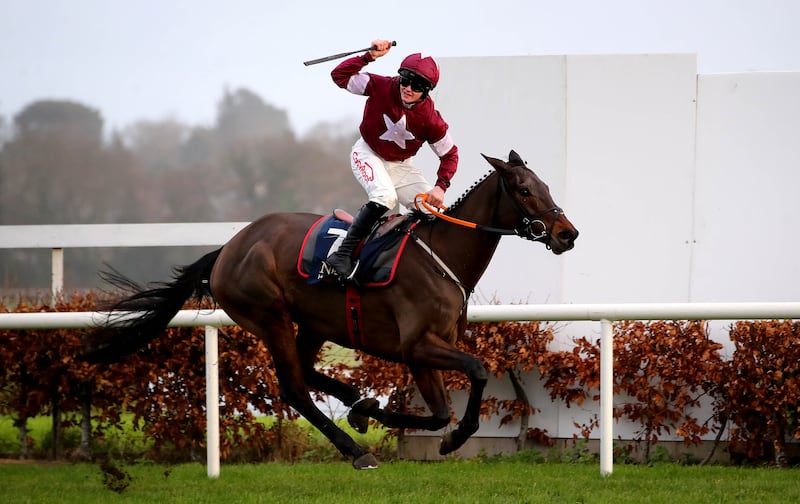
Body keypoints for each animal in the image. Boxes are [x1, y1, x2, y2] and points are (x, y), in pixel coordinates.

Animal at [86, 150, 576, 468]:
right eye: (523, 190)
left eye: (546, 186)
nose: (567, 233)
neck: (442, 256)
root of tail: (228, 248)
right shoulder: (416, 346)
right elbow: (475, 372)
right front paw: (443, 435)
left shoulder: (426, 350)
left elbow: (440, 411)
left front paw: (381, 414)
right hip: (270, 316)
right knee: (294, 389)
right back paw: (356, 450)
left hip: (315, 322)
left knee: (307, 372)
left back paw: (357, 403)